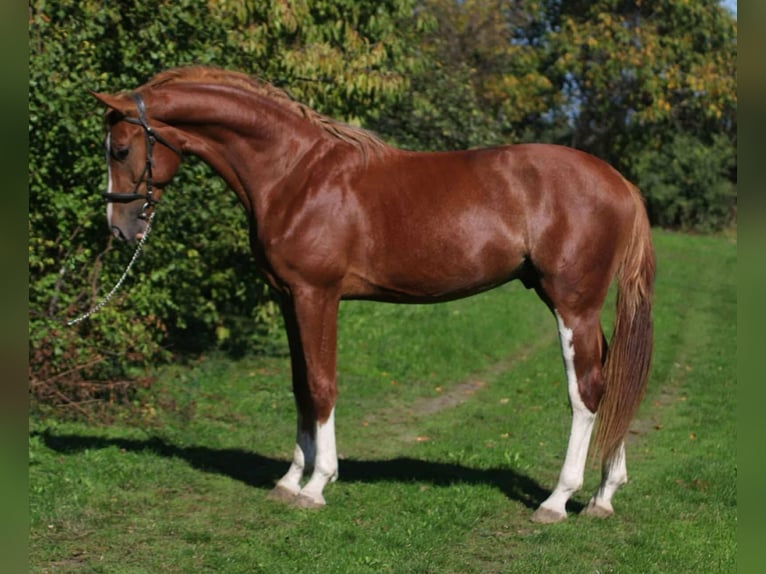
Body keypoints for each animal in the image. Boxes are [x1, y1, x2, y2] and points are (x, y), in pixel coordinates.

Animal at [90, 66, 654, 523]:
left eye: (121, 149)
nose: (119, 228)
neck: (295, 173)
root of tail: (620, 182)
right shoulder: (287, 299)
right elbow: (299, 386)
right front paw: (289, 480)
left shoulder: (316, 295)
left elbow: (321, 385)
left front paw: (317, 485)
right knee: (612, 379)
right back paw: (604, 495)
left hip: (573, 305)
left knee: (587, 390)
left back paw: (558, 501)